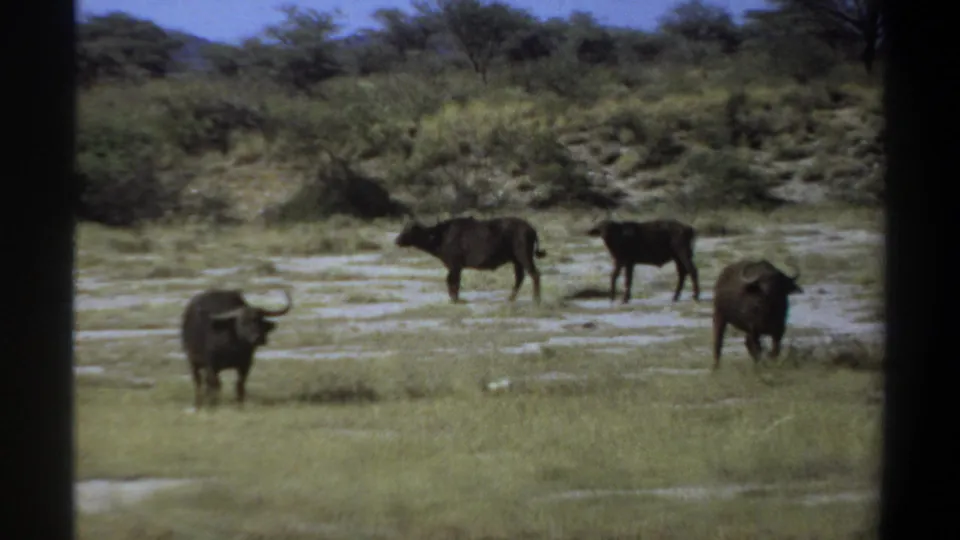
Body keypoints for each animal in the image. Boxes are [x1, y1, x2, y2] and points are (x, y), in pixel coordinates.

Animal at [395, 216, 547, 305]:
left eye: (409, 230)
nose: (397, 240)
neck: (441, 236)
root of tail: (531, 229)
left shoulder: (455, 266)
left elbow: (452, 281)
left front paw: (455, 299)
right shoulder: (456, 267)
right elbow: (453, 281)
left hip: (524, 257)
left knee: (535, 274)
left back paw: (536, 300)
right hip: (516, 261)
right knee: (520, 278)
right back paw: (510, 298)